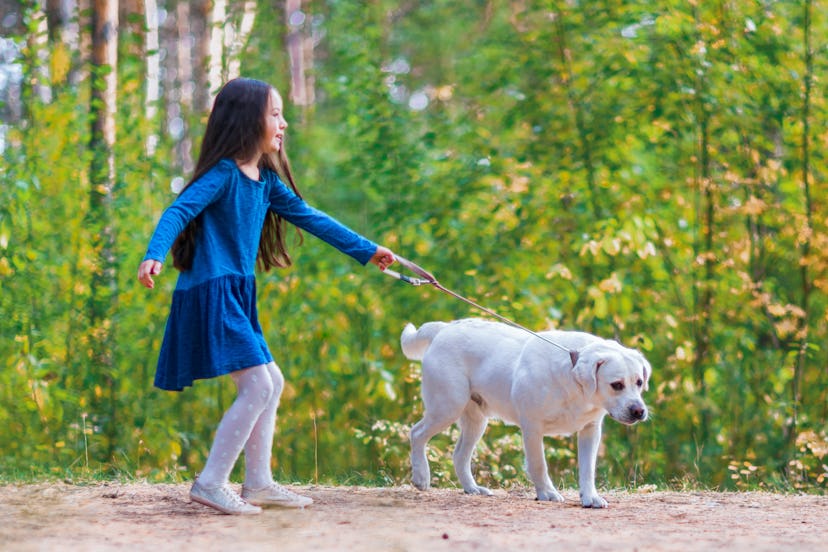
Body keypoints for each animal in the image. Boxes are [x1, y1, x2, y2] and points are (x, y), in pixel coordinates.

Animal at [402, 320, 652, 508]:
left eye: (639, 382)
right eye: (616, 385)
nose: (639, 411)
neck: (574, 384)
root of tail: (443, 328)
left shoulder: (590, 430)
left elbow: (587, 468)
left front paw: (590, 498)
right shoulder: (532, 427)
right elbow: (539, 464)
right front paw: (547, 494)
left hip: (476, 420)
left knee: (459, 455)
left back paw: (472, 489)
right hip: (447, 406)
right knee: (416, 433)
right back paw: (421, 477)